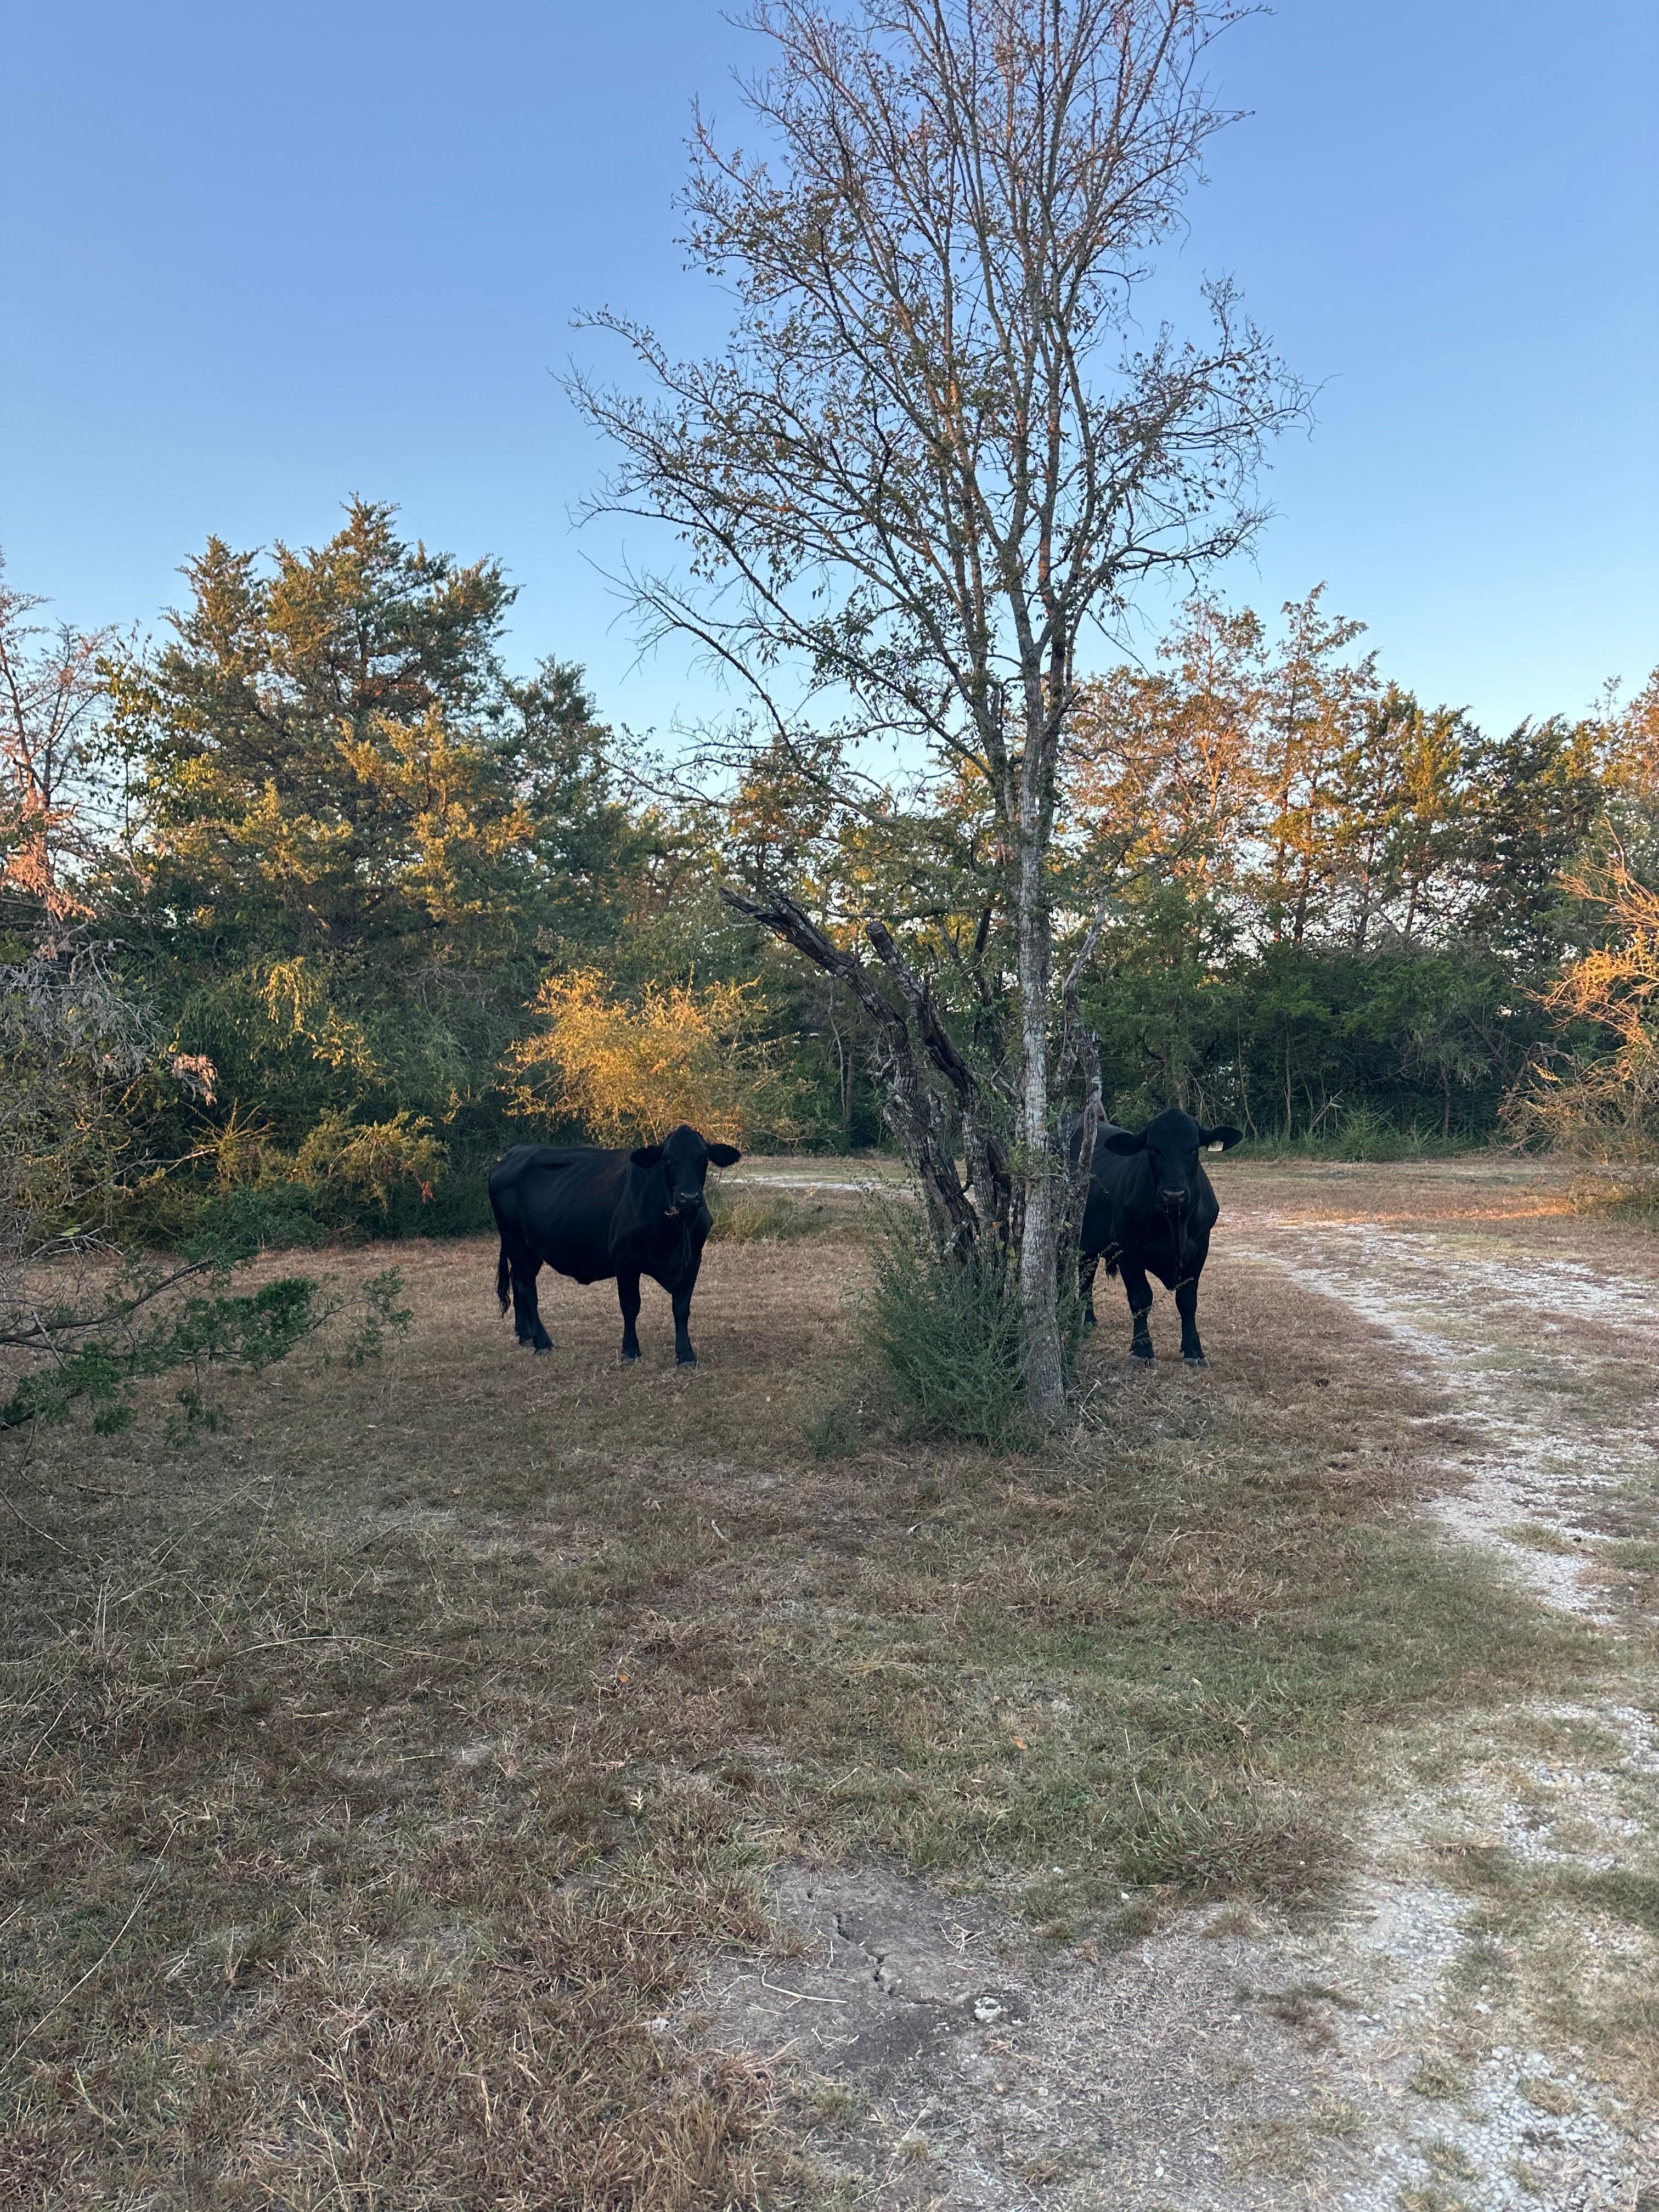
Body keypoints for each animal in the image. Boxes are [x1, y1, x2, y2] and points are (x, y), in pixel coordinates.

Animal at [488, 1124, 742, 1367]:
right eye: (668, 1159)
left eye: (704, 1158)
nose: (689, 1197)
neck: (678, 1232)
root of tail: (515, 1152)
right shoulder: (625, 1260)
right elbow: (631, 1306)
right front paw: (630, 1352)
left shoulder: (693, 1260)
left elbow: (681, 1308)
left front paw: (686, 1355)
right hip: (517, 1244)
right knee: (528, 1289)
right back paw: (542, 1342)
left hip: (529, 1250)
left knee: (517, 1282)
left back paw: (526, 1335)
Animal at [1073, 1106, 1242, 1366]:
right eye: (1153, 1149)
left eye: (1194, 1148)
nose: (1174, 1194)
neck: (1173, 1223)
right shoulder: (1127, 1249)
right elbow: (1141, 1298)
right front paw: (1142, 1350)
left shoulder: (1200, 1248)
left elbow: (1187, 1300)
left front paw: (1194, 1351)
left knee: (1086, 1275)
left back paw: (1089, 1321)